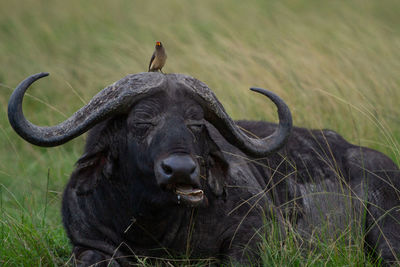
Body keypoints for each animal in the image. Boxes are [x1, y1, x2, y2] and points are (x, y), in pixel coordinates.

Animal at [7, 71, 400, 266]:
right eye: (142, 122)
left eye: (196, 123)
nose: (180, 169)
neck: (154, 226)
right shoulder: (86, 241)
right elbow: (92, 259)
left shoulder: (257, 232)